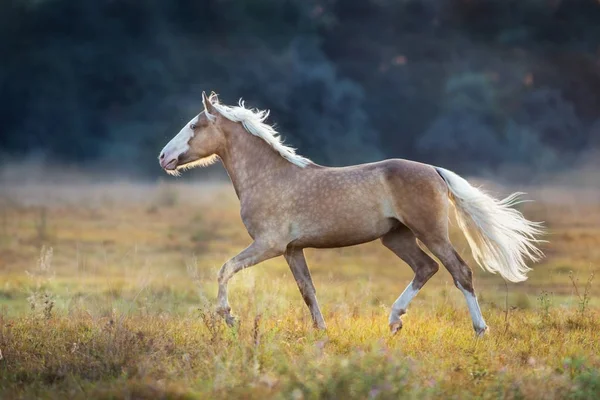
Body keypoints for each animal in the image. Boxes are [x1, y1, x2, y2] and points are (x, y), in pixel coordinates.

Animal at [159, 91, 544, 334]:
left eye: (195, 125)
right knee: (426, 268)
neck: (269, 176)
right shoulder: (292, 249)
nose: (164, 157)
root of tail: (434, 170)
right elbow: (308, 291)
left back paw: (479, 329)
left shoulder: (269, 245)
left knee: (459, 271)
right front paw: (321, 332)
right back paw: (394, 321)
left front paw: (229, 317)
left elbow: (225, 269)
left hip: (430, 232)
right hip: (396, 238)